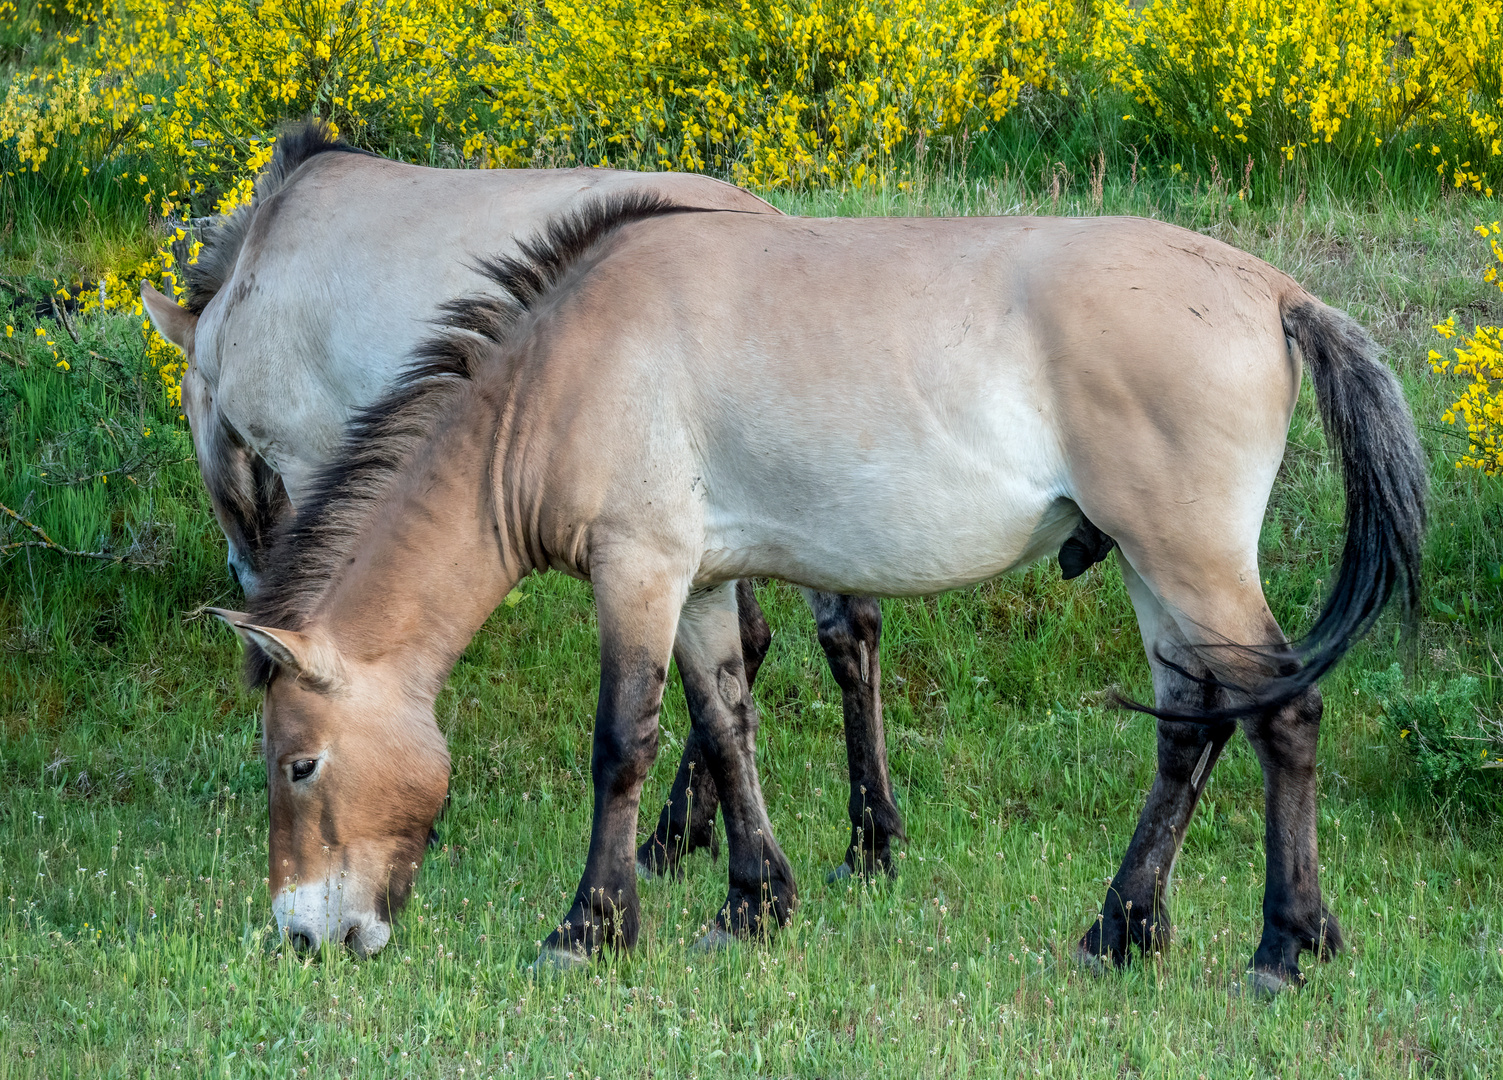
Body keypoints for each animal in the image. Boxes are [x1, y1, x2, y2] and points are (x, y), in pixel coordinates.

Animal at [208, 193, 1418, 991]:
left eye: (299, 764)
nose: (303, 934)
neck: (563, 371)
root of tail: (1276, 293)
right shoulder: (698, 583)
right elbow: (726, 723)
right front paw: (752, 904)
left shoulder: (637, 569)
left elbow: (622, 745)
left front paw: (590, 928)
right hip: (1150, 567)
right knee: (1192, 728)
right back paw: (1121, 929)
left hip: (1188, 563)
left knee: (1283, 715)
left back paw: (1286, 944)